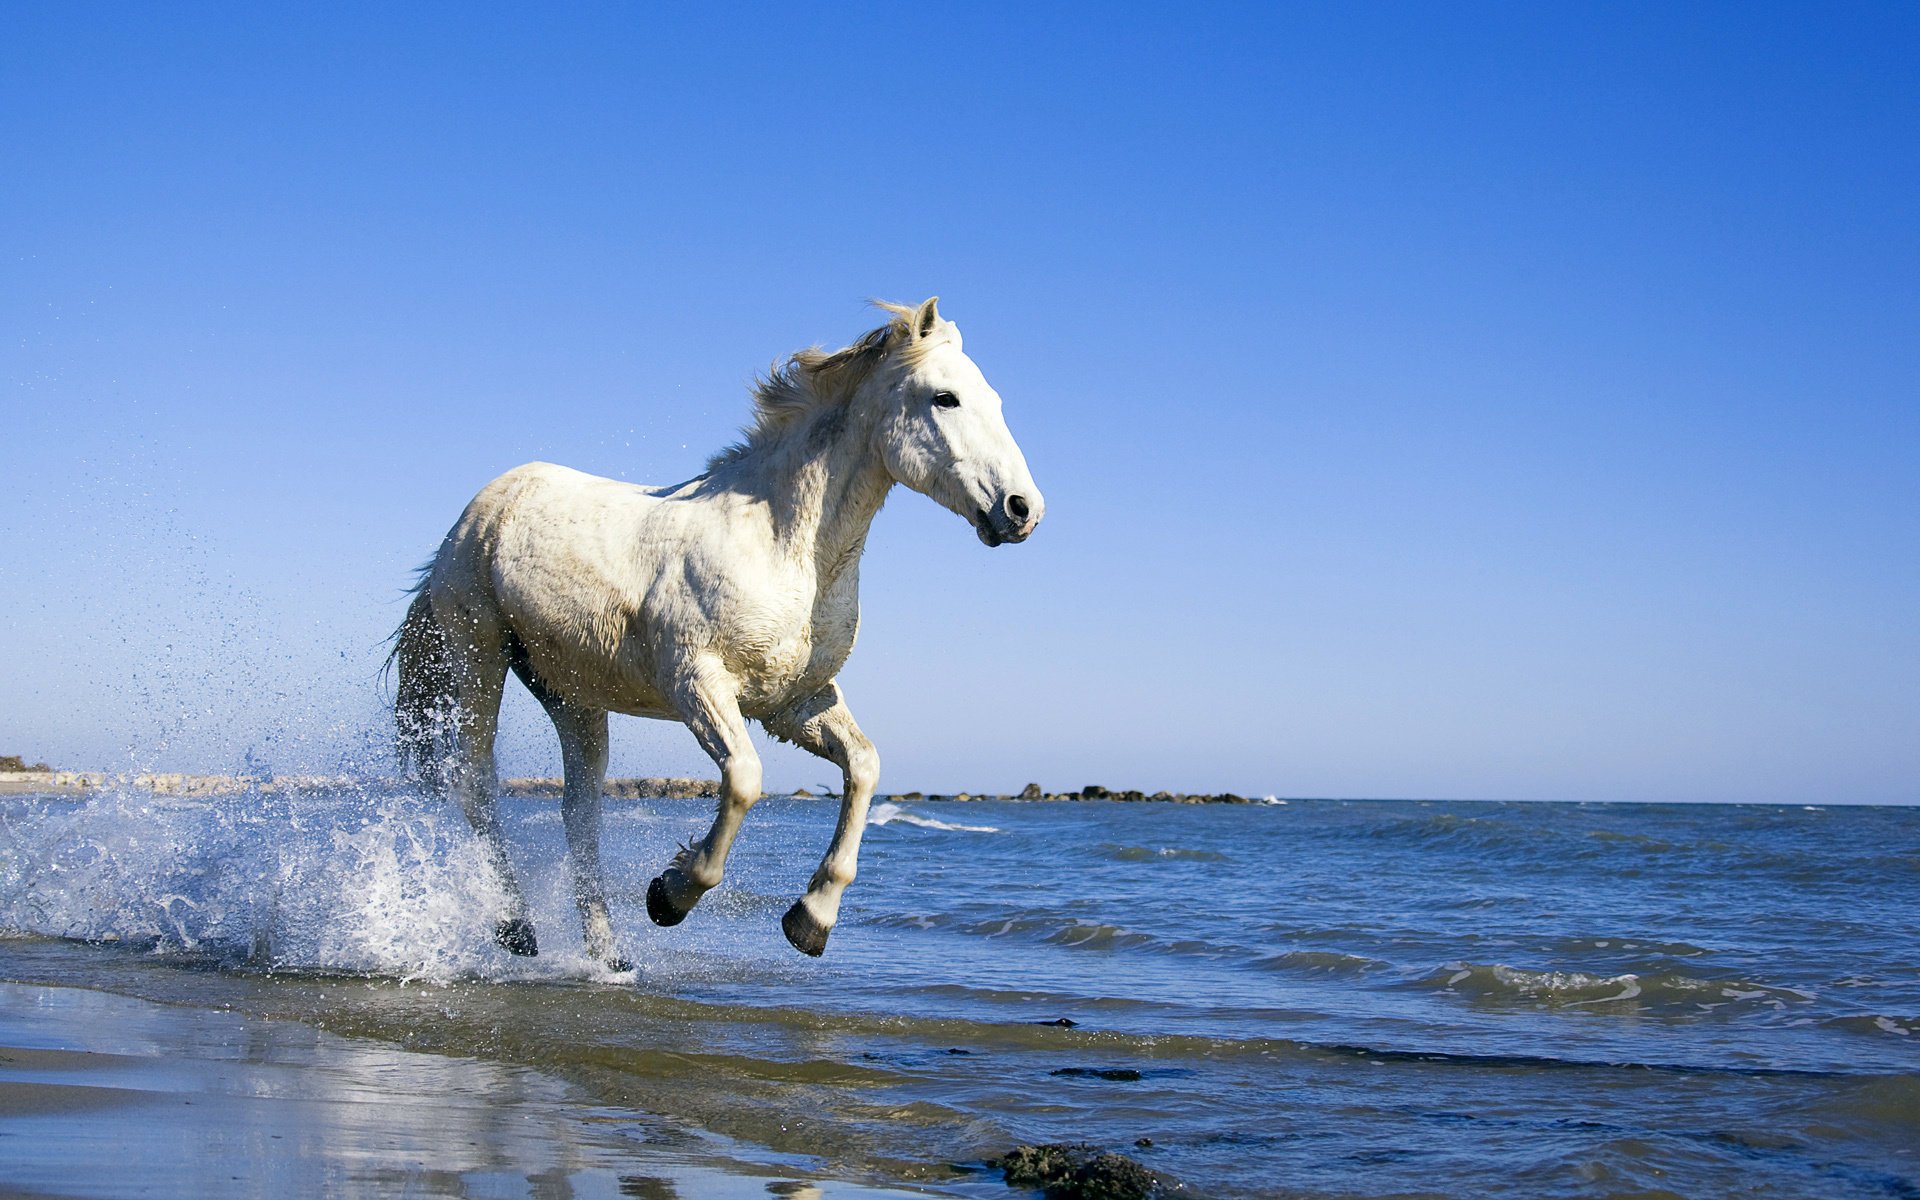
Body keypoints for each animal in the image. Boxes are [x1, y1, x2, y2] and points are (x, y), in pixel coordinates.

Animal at [390, 298, 1044, 970]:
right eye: (945, 398)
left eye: (993, 400)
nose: (1022, 509)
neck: (783, 547)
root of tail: (481, 508)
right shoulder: (698, 683)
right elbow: (745, 780)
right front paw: (669, 895)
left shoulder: (794, 702)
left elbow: (864, 766)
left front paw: (811, 920)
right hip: (479, 655)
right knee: (475, 782)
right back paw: (517, 927)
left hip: (573, 695)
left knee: (580, 814)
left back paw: (609, 956)